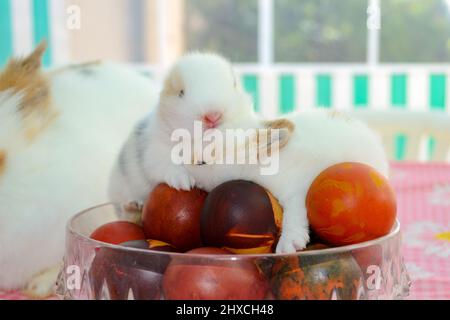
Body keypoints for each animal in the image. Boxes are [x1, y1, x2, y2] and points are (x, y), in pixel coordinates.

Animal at [110, 53, 390, 256]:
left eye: (202, 161)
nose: (184, 163)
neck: (252, 166)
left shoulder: (295, 188)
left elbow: (296, 212)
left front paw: (289, 245)